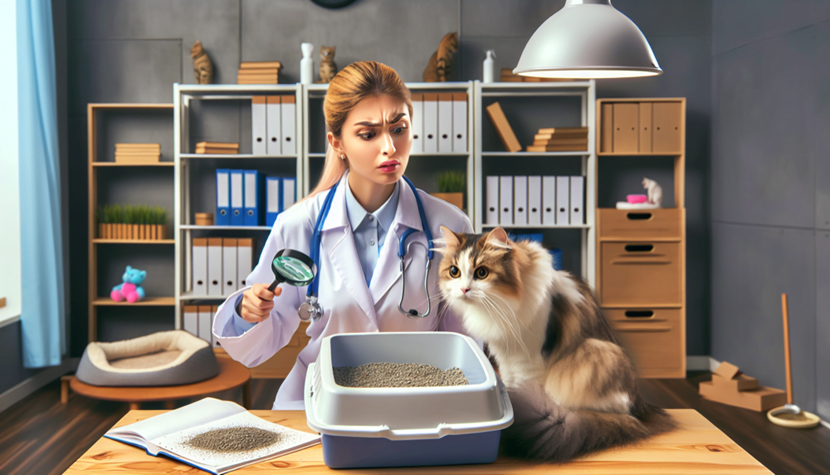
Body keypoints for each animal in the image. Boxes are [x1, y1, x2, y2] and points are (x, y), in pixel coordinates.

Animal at [436, 229, 676, 462]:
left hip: (597, 354)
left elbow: (522, 385)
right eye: (454, 272)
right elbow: (509, 382)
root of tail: (641, 412)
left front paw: (518, 406)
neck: (501, 305)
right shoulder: (504, 354)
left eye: (482, 273)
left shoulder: (529, 359)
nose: (464, 289)